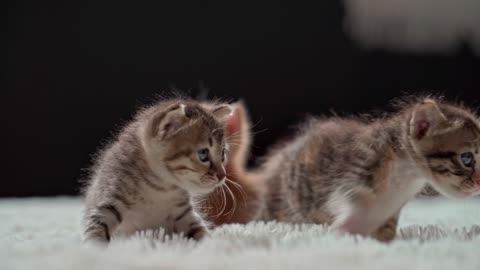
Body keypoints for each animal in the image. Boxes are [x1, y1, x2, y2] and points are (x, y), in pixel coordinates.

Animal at [82, 98, 232, 242]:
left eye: (223, 154)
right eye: (203, 154)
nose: (222, 175)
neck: (158, 188)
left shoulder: (185, 213)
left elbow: (201, 232)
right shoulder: (109, 202)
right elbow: (96, 231)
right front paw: (94, 247)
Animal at [215, 96, 480, 240]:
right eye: (467, 158)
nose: (479, 183)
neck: (402, 179)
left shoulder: (388, 212)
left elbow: (385, 231)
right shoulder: (355, 176)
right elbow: (350, 207)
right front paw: (341, 232)